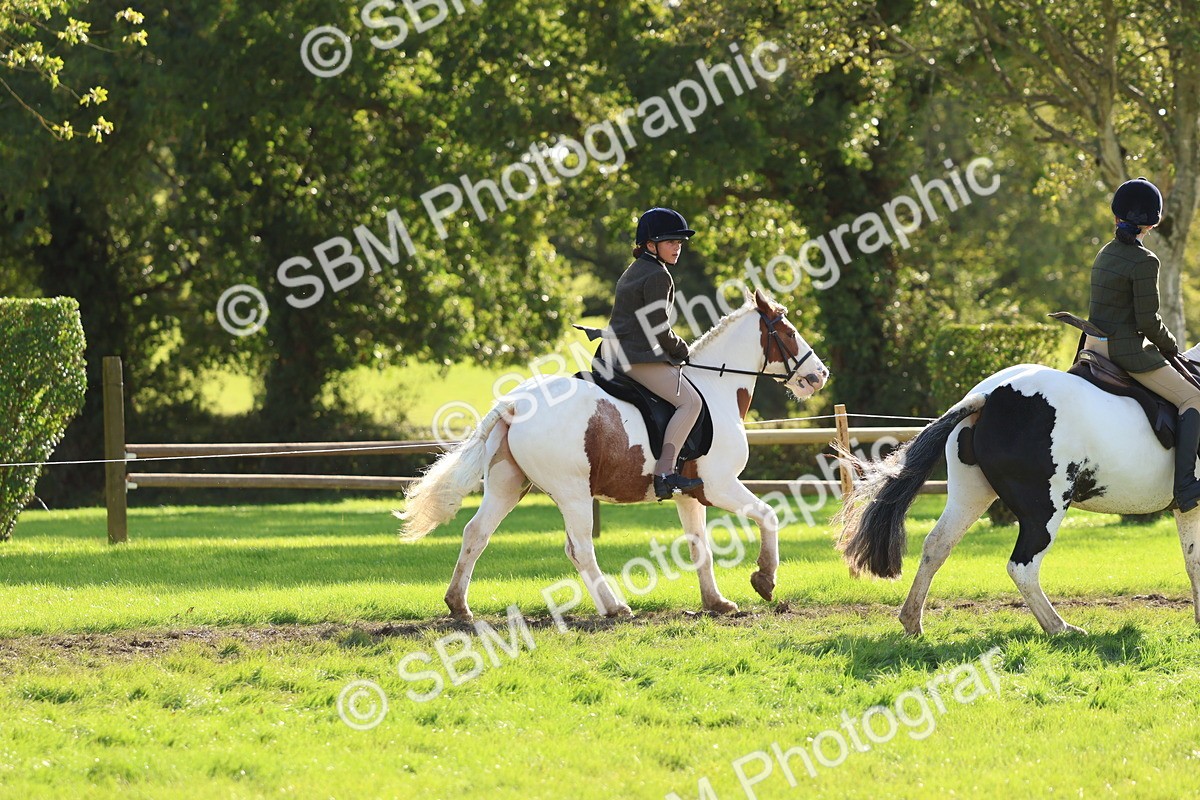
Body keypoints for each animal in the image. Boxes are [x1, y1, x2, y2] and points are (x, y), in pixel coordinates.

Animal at [399, 290, 829, 621]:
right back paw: (615, 607)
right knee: (579, 549)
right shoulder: (719, 486)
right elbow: (768, 515)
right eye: (788, 332)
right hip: (572, 493)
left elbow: (699, 547)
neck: (715, 387)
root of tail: (515, 404)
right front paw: (764, 580)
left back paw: (459, 606)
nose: (820, 375)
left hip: (507, 487)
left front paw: (716, 602)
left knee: (476, 534)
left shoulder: (690, 494)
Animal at [836, 350, 1200, 635]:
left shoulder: (1187, 510)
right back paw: (1060, 628)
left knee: (936, 546)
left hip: (971, 496)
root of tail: (987, 396)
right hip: (1045, 510)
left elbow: (1192, 560)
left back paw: (912, 620)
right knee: (1022, 566)